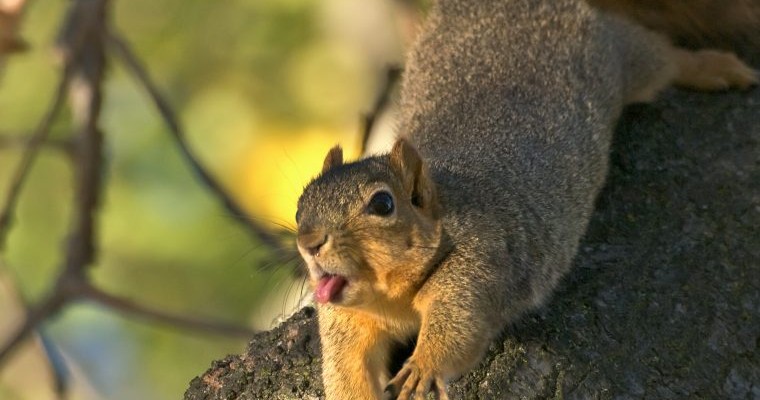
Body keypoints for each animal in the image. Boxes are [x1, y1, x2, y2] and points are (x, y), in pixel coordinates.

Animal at [292, 0, 756, 396]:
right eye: (299, 208)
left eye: (383, 204)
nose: (310, 242)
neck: (391, 299)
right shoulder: (347, 321)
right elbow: (347, 371)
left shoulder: (482, 263)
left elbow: (459, 328)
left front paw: (423, 367)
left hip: (618, 55)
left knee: (660, 56)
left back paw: (714, 67)